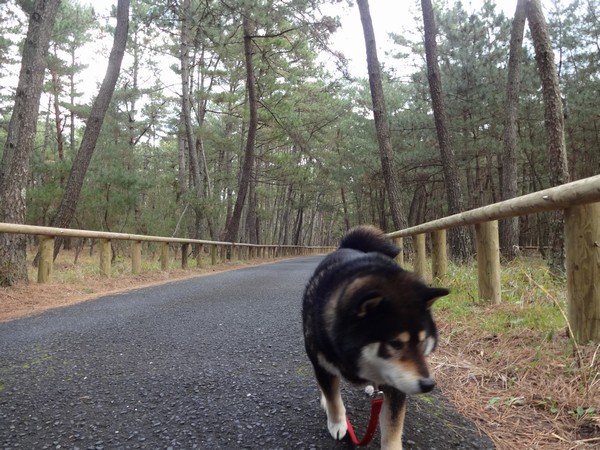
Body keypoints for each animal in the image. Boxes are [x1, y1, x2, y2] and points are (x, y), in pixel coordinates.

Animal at [302, 225, 449, 449]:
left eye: (423, 341)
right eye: (395, 343)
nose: (428, 385)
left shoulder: (396, 383)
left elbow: (392, 425)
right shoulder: (322, 363)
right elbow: (333, 397)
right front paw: (337, 424)